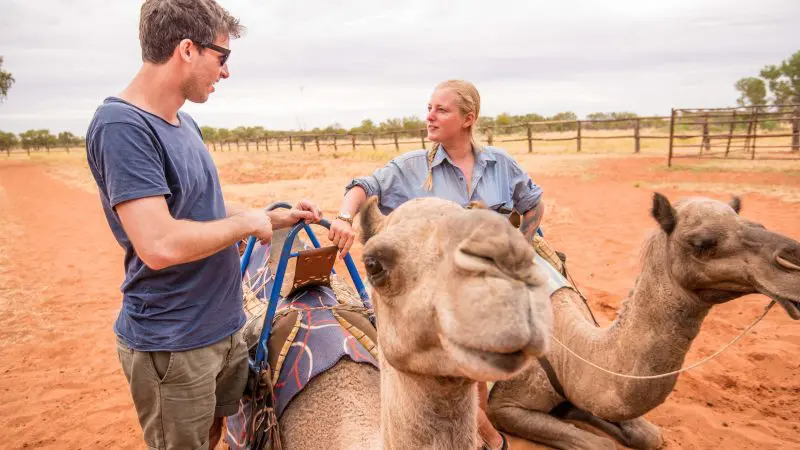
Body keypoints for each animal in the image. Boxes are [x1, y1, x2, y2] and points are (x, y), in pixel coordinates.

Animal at [487, 193, 800, 450]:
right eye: (701, 243)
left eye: (757, 225)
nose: (793, 260)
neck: (567, 349)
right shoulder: (503, 407)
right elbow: (603, 445)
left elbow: (649, 436)